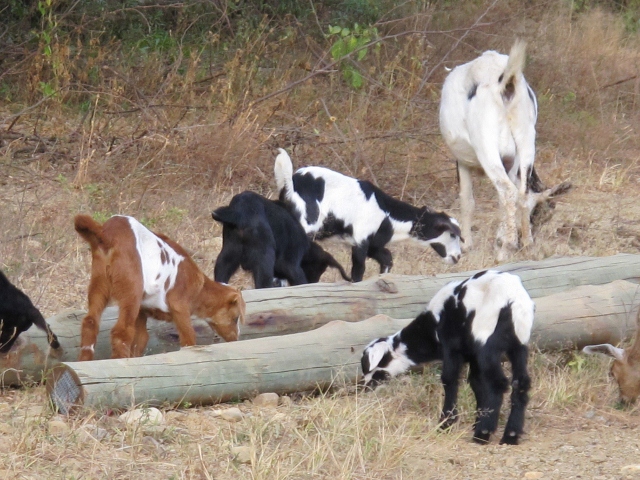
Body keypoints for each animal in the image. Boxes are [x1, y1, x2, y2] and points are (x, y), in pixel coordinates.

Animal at [74, 214, 245, 361]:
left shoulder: (142, 311)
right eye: (235, 317)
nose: (235, 338)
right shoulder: (180, 306)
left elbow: (141, 339)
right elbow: (188, 339)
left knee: (90, 322)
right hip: (131, 288)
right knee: (122, 330)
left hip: (99, 282)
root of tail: (106, 234)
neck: (199, 288)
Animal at [212, 191, 351, 289]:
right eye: (318, 270)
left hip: (228, 252)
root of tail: (240, 211)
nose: (314, 282)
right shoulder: (292, 266)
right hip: (265, 256)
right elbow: (299, 281)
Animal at [274, 148, 462, 283]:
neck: (388, 214)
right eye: (452, 234)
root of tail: (291, 185)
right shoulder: (361, 241)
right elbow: (358, 272)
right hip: (306, 228)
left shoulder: (374, 245)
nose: (458, 257)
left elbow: (387, 259)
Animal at [361, 270, 535, 445]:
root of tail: (512, 300)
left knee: (498, 384)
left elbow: (449, 379)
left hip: (486, 341)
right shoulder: (472, 354)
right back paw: (510, 435)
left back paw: (483, 434)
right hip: (519, 344)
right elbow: (476, 382)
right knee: (520, 382)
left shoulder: (452, 348)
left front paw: (446, 424)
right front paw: (475, 420)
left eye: (373, 366)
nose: (365, 388)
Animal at [439, 41, 571, 261]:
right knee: (521, 193)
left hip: (486, 146)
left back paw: (508, 247)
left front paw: (467, 244)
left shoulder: (462, 160)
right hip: (526, 141)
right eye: (542, 212)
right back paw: (526, 244)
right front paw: (500, 240)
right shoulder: (512, 162)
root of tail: (507, 82)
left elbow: (467, 200)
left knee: (508, 191)